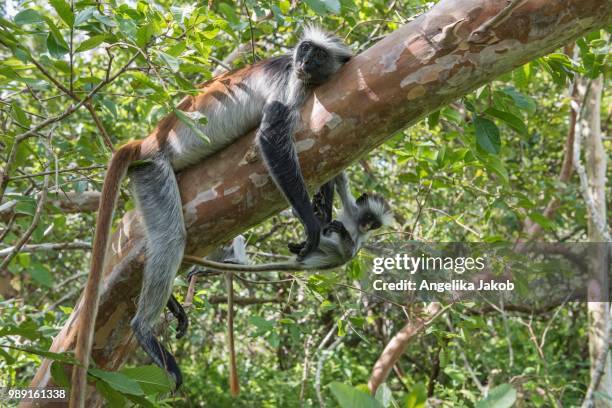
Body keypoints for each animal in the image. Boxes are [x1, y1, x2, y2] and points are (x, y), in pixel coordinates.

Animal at [70, 27, 350, 406]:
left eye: (318, 55)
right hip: (153, 171)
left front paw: (325, 205)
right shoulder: (292, 82)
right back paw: (143, 330)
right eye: (304, 50)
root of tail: (148, 141)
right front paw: (311, 222)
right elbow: (270, 137)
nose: (304, 60)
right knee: (172, 238)